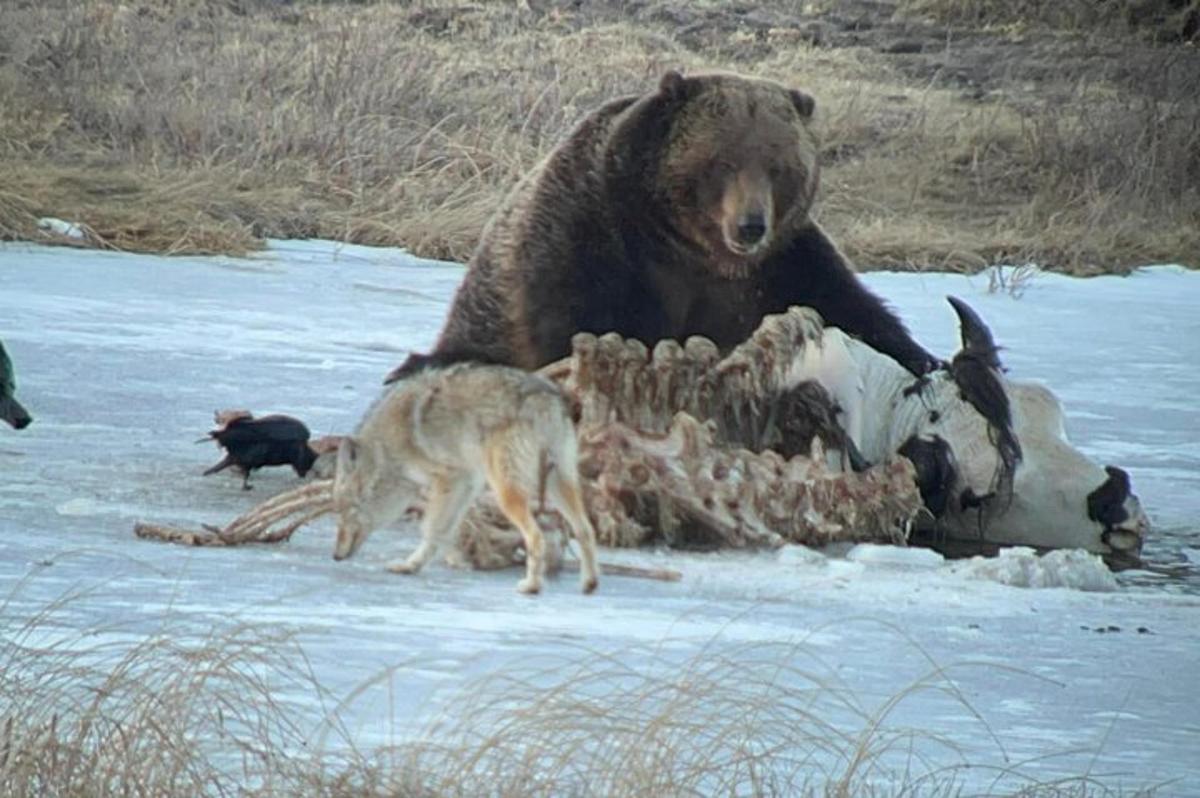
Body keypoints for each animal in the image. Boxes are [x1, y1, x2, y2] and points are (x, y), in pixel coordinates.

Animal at [388, 69, 940, 381]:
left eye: (779, 167)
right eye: (723, 161)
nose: (750, 226)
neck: (690, 249)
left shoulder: (782, 267)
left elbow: (855, 310)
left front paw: (930, 364)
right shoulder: (594, 234)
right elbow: (578, 321)